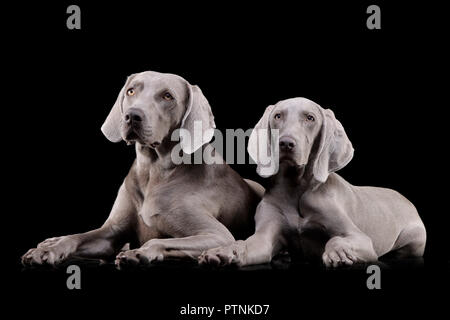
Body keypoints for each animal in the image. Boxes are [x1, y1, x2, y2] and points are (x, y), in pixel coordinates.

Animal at [22, 70, 264, 268]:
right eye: (131, 91)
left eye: (167, 96)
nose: (132, 115)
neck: (153, 172)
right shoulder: (111, 232)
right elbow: (77, 237)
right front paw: (47, 251)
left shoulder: (216, 234)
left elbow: (159, 239)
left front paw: (139, 253)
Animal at [200, 97, 426, 268]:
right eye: (278, 116)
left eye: (310, 118)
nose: (286, 143)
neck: (295, 188)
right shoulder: (264, 237)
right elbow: (246, 243)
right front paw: (223, 251)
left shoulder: (361, 239)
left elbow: (337, 239)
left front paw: (338, 252)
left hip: (414, 238)